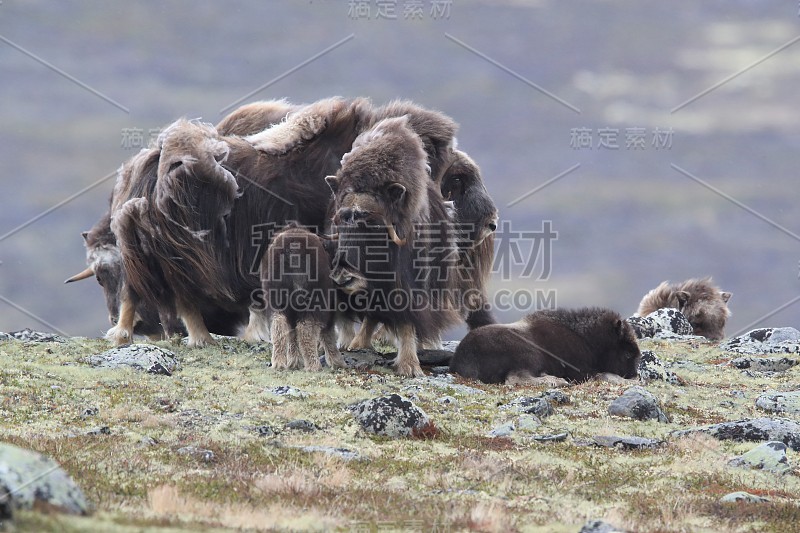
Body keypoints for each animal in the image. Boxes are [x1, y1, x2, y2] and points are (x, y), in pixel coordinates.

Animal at [264, 224, 346, 370]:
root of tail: (292, 249)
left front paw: (294, 361)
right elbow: (328, 332)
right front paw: (337, 362)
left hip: (276, 300)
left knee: (278, 324)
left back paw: (279, 363)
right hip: (314, 301)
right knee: (305, 329)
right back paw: (314, 365)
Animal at [326, 115, 462, 376]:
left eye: (371, 220)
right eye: (342, 217)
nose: (343, 276)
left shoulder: (408, 287)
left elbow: (408, 321)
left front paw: (409, 366)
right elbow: (371, 315)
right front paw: (356, 345)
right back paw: (357, 343)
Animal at [450, 306, 644, 384]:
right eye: (627, 353)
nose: (634, 375)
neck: (587, 340)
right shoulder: (580, 370)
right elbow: (602, 374)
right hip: (528, 355)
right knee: (515, 378)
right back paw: (557, 382)